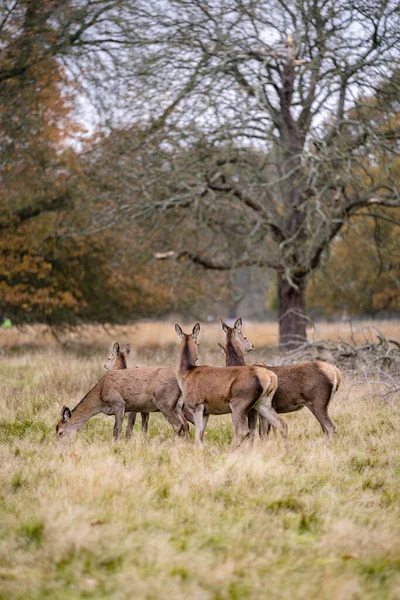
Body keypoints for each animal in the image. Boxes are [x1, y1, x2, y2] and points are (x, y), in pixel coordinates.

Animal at [54, 364, 186, 442]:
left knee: (178, 424)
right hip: (177, 406)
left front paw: (115, 445)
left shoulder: (119, 403)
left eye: (60, 433)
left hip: (165, 402)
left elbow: (117, 429)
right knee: (185, 424)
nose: (57, 448)